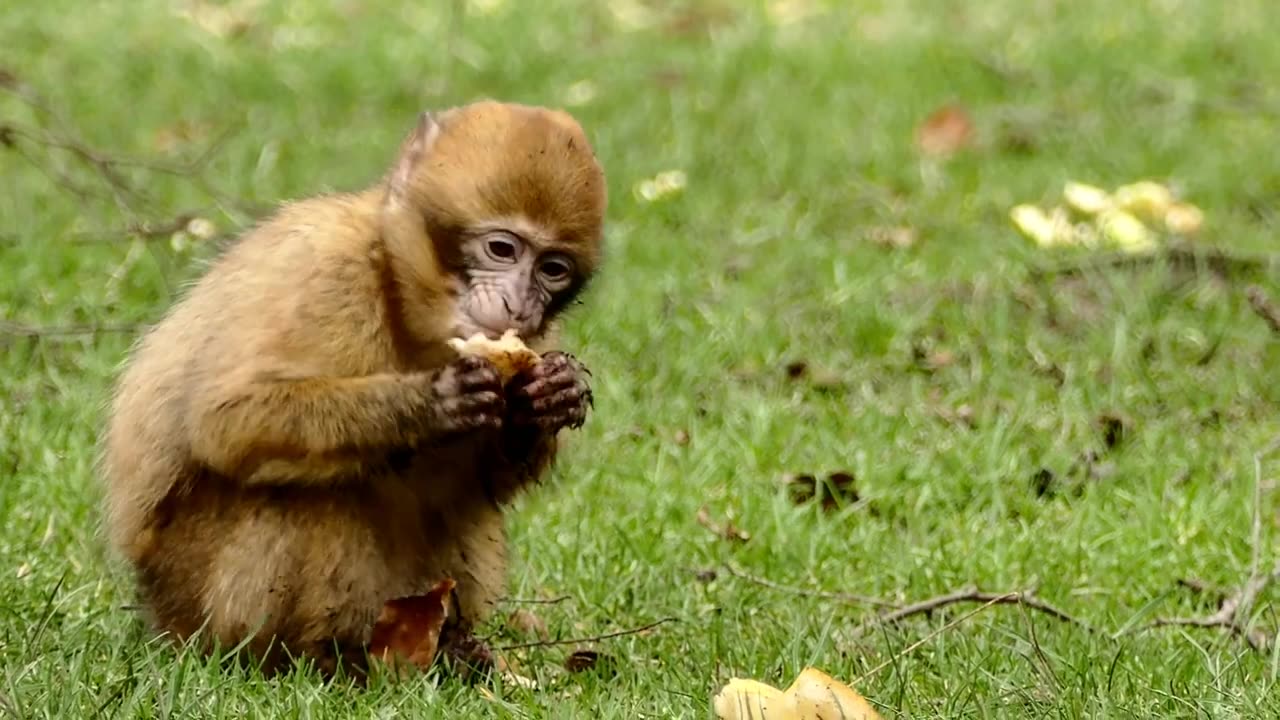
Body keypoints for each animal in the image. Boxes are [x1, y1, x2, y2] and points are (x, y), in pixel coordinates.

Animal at [97, 101, 606, 676]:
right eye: (502, 249)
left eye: (552, 269)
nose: (520, 306)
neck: (401, 293)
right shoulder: (323, 271)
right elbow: (225, 419)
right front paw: (431, 402)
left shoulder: (539, 336)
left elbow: (488, 480)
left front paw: (549, 397)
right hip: (192, 596)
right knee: (302, 494)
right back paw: (319, 659)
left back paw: (447, 647)